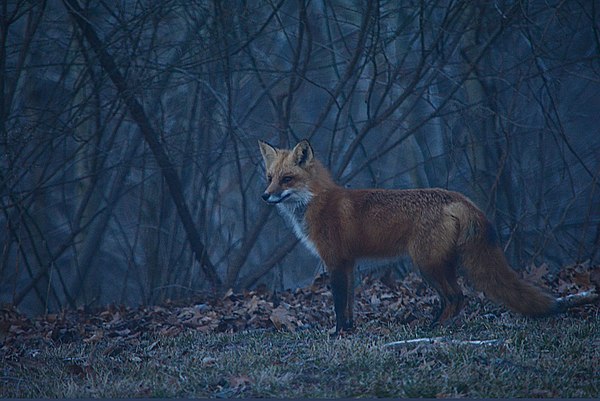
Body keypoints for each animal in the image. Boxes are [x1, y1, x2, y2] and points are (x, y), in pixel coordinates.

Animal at [258, 139, 596, 332]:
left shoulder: (336, 262)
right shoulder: (350, 265)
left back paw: (433, 329)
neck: (318, 202)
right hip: (437, 265)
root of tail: (459, 198)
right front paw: (350, 331)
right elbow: (351, 304)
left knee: (457, 297)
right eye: (269, 177)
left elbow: (340, 305)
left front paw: (338, 333)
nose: (264, 196)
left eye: (287, 179)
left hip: (426, 265)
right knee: (458, 298)